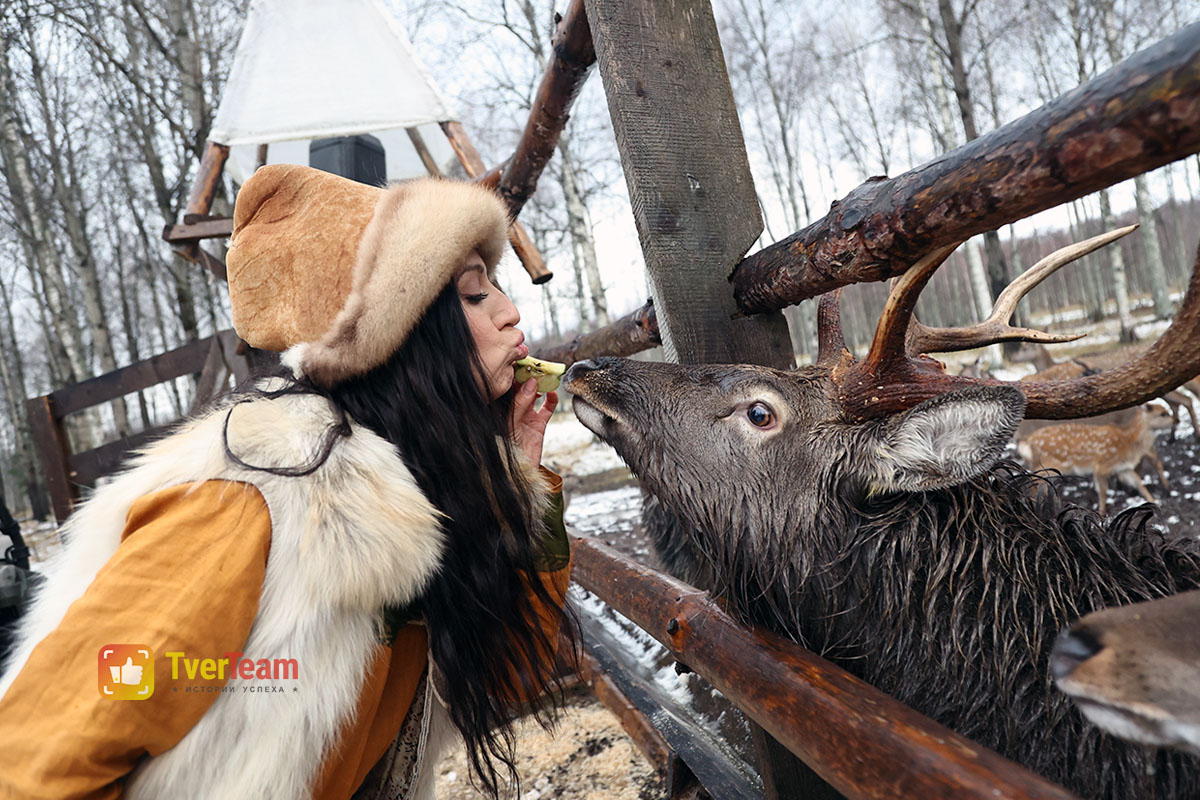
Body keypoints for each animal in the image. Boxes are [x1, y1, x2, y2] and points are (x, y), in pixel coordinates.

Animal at [1017, 402, 1176, 515]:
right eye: (1163, 414)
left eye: (1167, 411)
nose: (1177, 420)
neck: (1128, 443)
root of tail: (1027, 441)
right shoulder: (1102, 465)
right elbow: (1103, 491)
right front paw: (1101, 512)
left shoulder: (1123, 468)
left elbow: (1139, 482)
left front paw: (1155, 503)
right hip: (1054, 461)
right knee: (1034, 476)